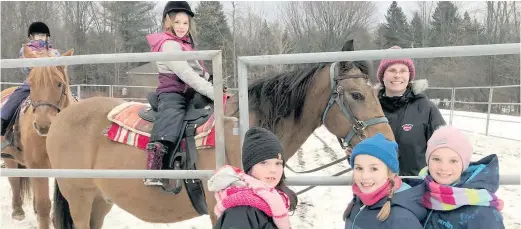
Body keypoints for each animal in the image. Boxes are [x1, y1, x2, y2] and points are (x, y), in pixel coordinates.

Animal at [0, 46, 75, 229]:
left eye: (59, 83)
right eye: (31, 83)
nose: (43, 125)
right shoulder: (38, 165)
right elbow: (44, 205)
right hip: (10, 158)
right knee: (14, 180)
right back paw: (18, 210)